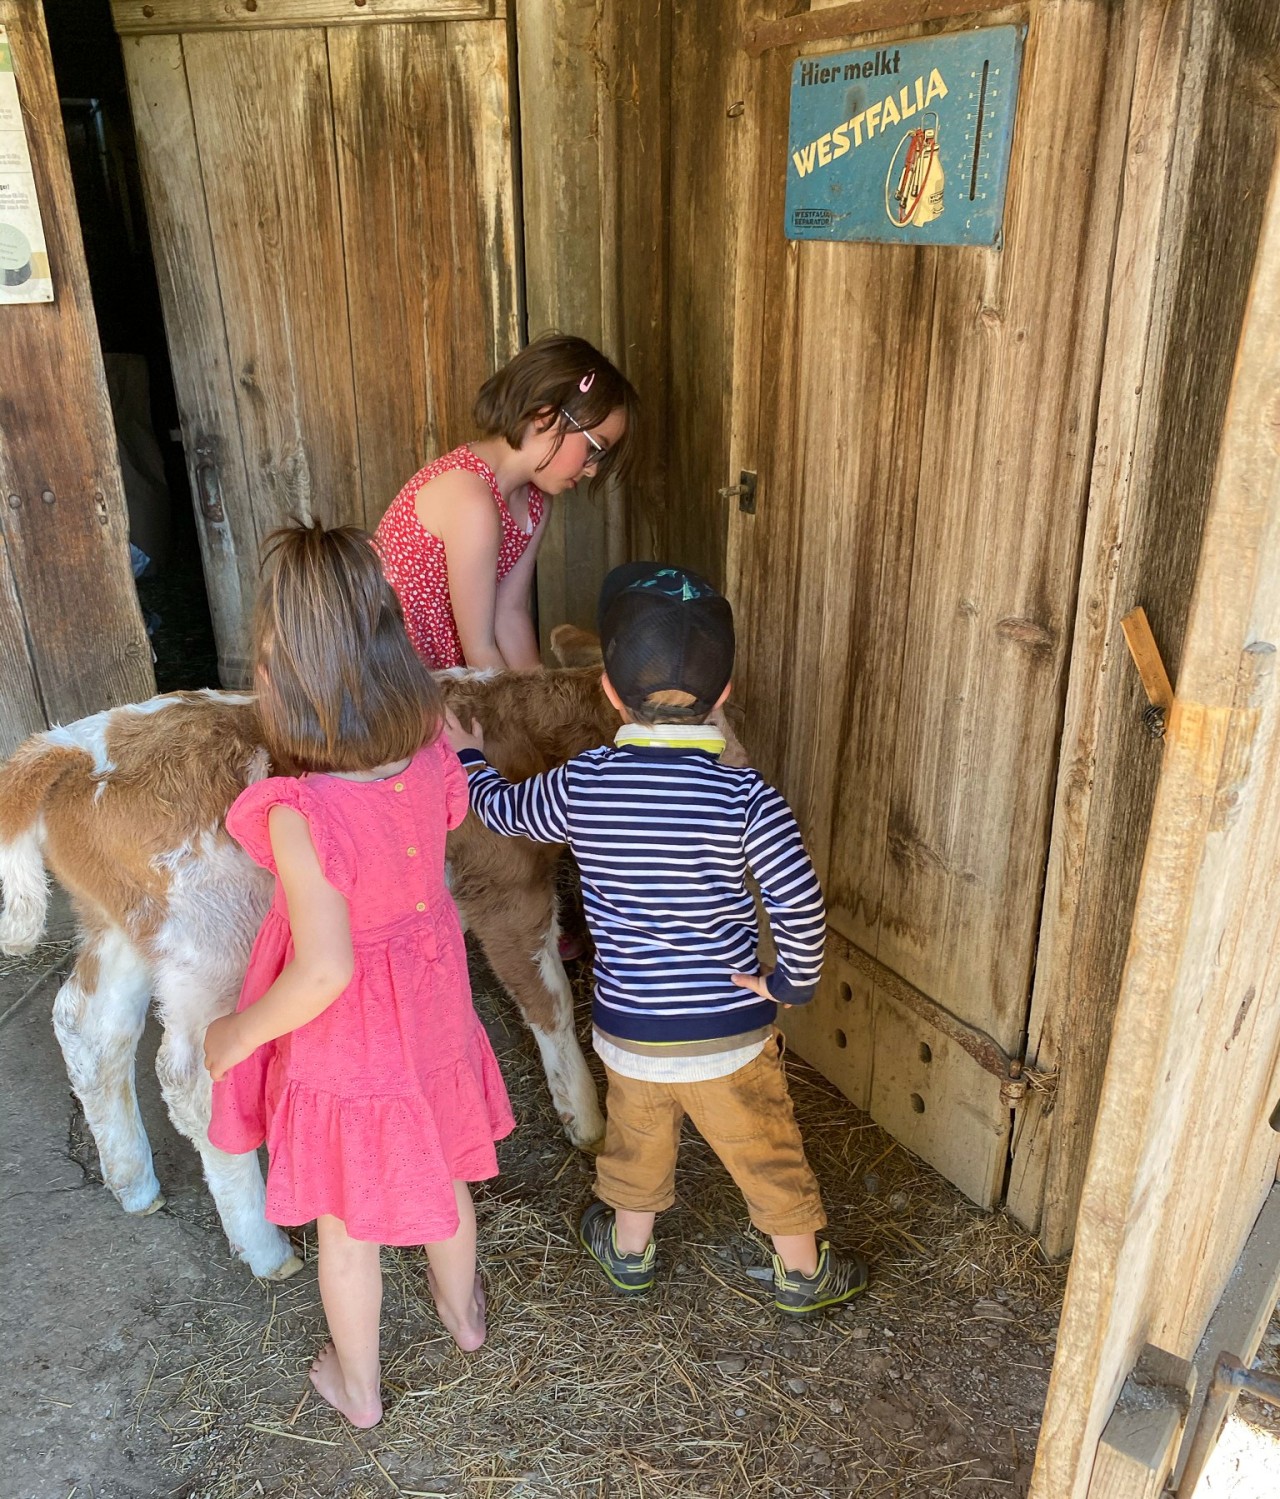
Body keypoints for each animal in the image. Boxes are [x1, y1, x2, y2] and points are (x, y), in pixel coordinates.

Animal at [0, 662, 626, 1283]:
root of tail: (78, 744)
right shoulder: (506, 887)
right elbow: (549, 1000)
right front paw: (587, 1118)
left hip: (121, 928)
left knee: (88, 1032)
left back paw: (133, 1183)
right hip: (211, 949)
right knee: (190, 1081)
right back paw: (264, 1246)